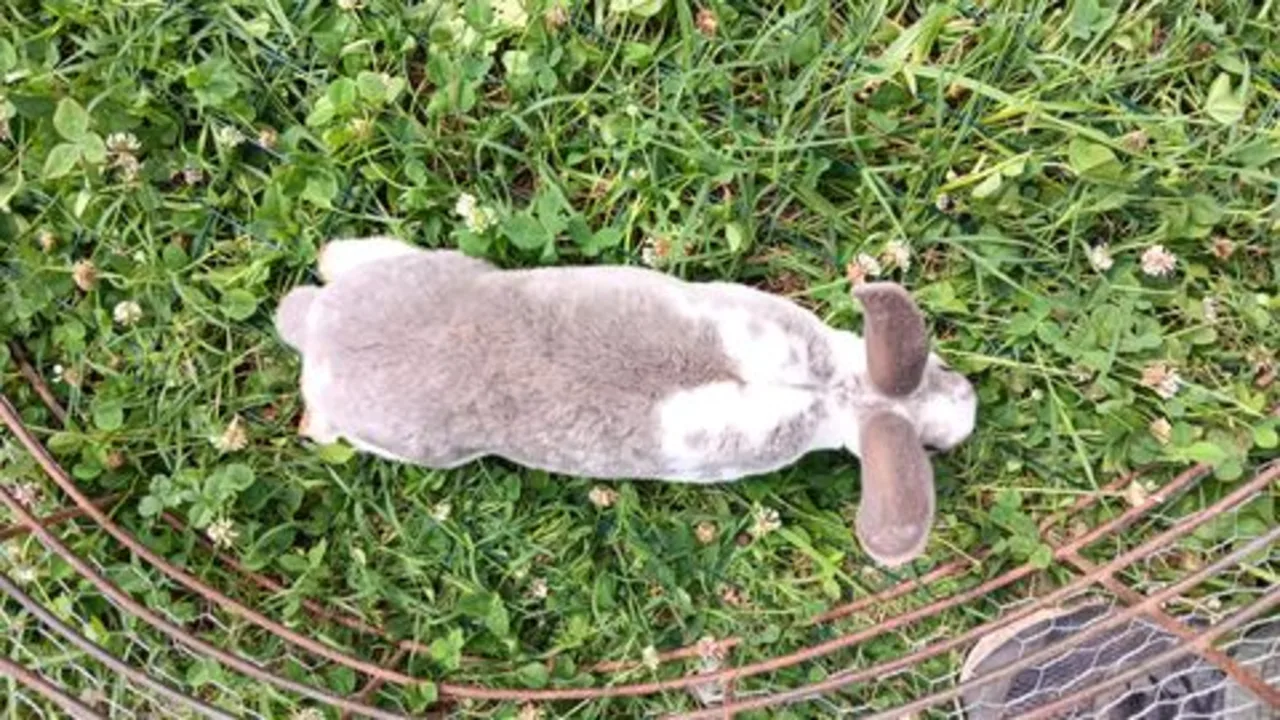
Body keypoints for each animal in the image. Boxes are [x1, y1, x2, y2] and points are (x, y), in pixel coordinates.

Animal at [274, 236, 977, 567]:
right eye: (930, 448)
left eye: (939, 363)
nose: (971, 406)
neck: (836, 390)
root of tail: (320, 331)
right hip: (413, 443)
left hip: (434, 267)